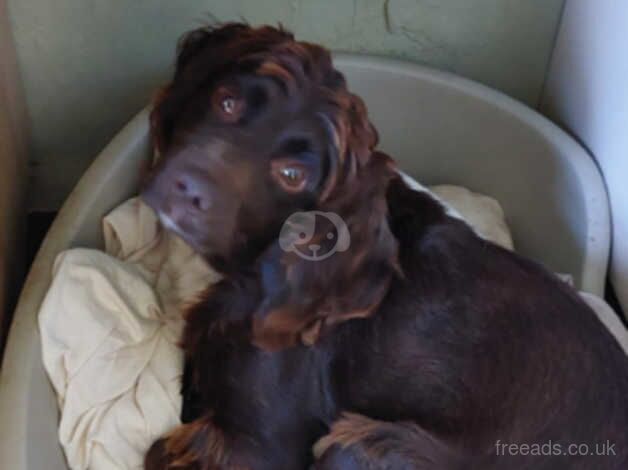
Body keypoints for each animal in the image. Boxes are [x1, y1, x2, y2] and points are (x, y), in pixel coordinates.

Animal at [142, 23, 628, 470]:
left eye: (293, 175)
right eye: (226, 102)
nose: (187, 189)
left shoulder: (259, 448)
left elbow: (157, 452)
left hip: (360, 446)